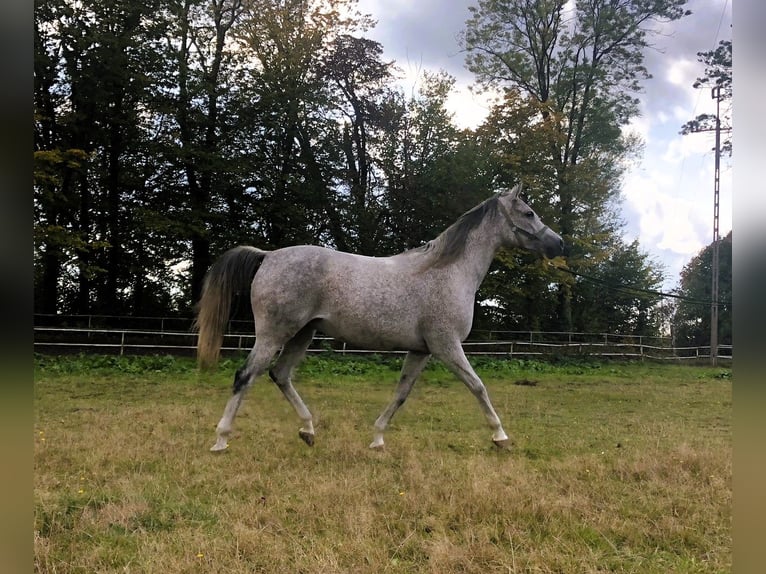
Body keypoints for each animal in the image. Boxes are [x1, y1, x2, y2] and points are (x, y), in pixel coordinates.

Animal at [194, 183, 564, 450]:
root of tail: (268, 256)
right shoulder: (446, 346)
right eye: (529, 212)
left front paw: (377, 438)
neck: (448, 271)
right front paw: (500, 436)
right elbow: (478, 386)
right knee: (246, 376)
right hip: (274, 334)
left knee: (280, 375)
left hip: (303, 334)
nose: (559, 244)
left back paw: (309, 430)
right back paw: (221, 439)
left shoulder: (421, 350)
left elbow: (401, 394)